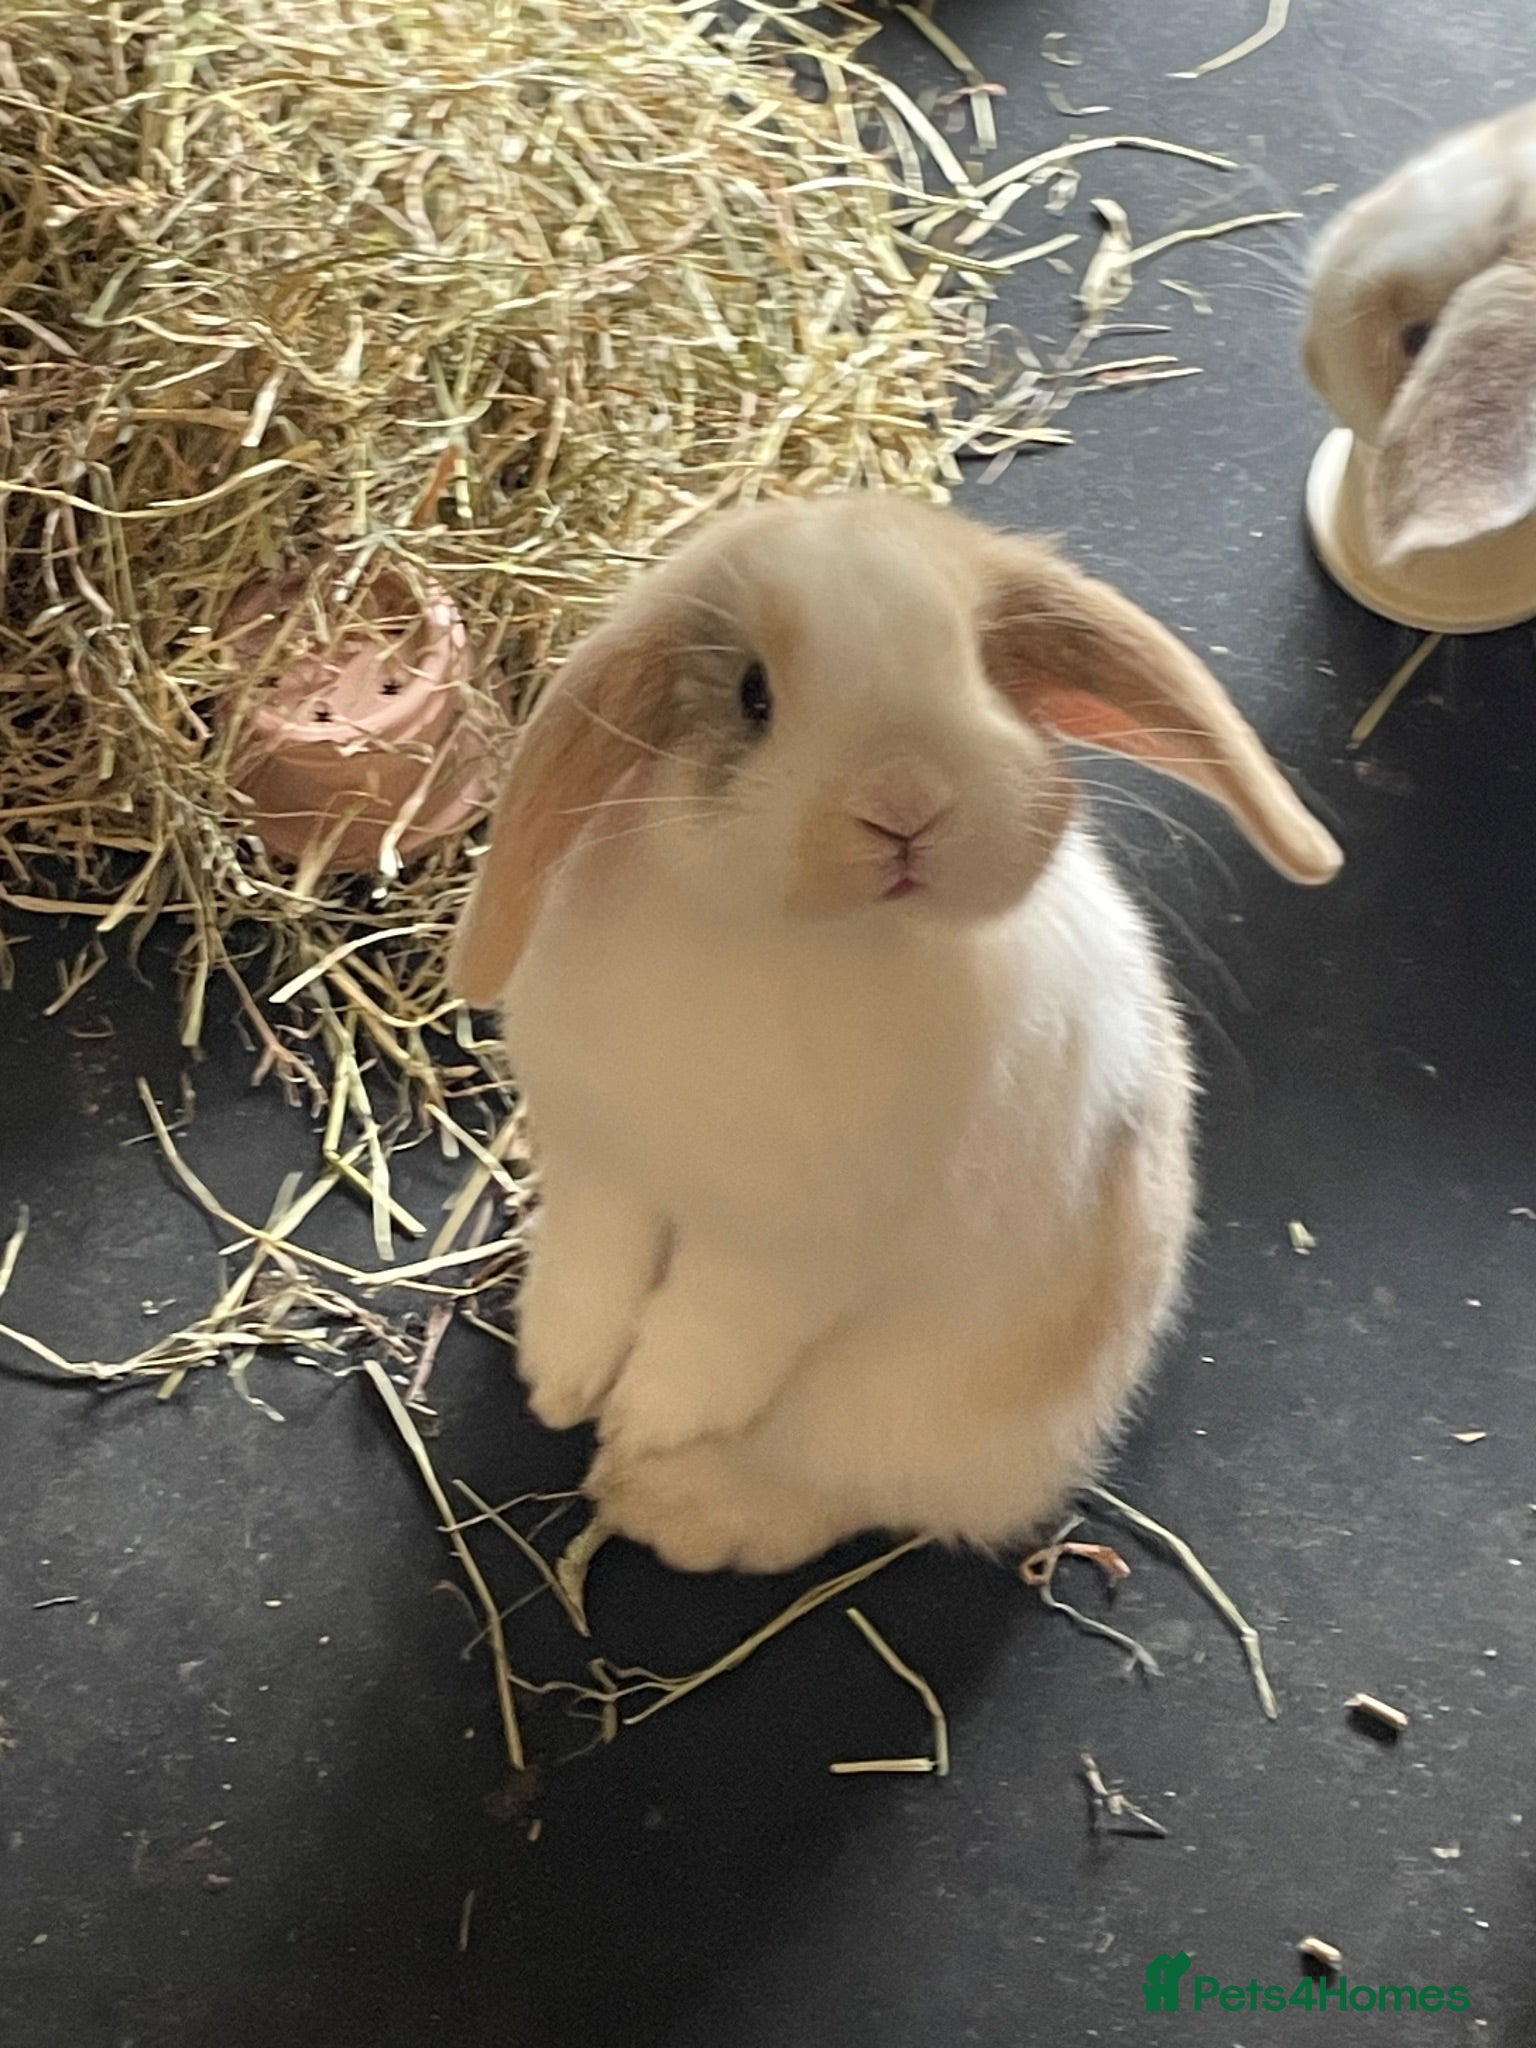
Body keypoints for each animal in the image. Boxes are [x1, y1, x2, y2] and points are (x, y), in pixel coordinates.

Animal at [450, 493, 1342, 1574]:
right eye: (753, 694)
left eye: (984, 670)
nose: (904, 802)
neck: (792, 940)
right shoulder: (599, 1161)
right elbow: (594, 1266)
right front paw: (558, 1381)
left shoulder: (792, 1249)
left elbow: (709, 1332)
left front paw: (645, 1414)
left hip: (901, 1420)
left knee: (844, 1489)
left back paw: (661, 1494)